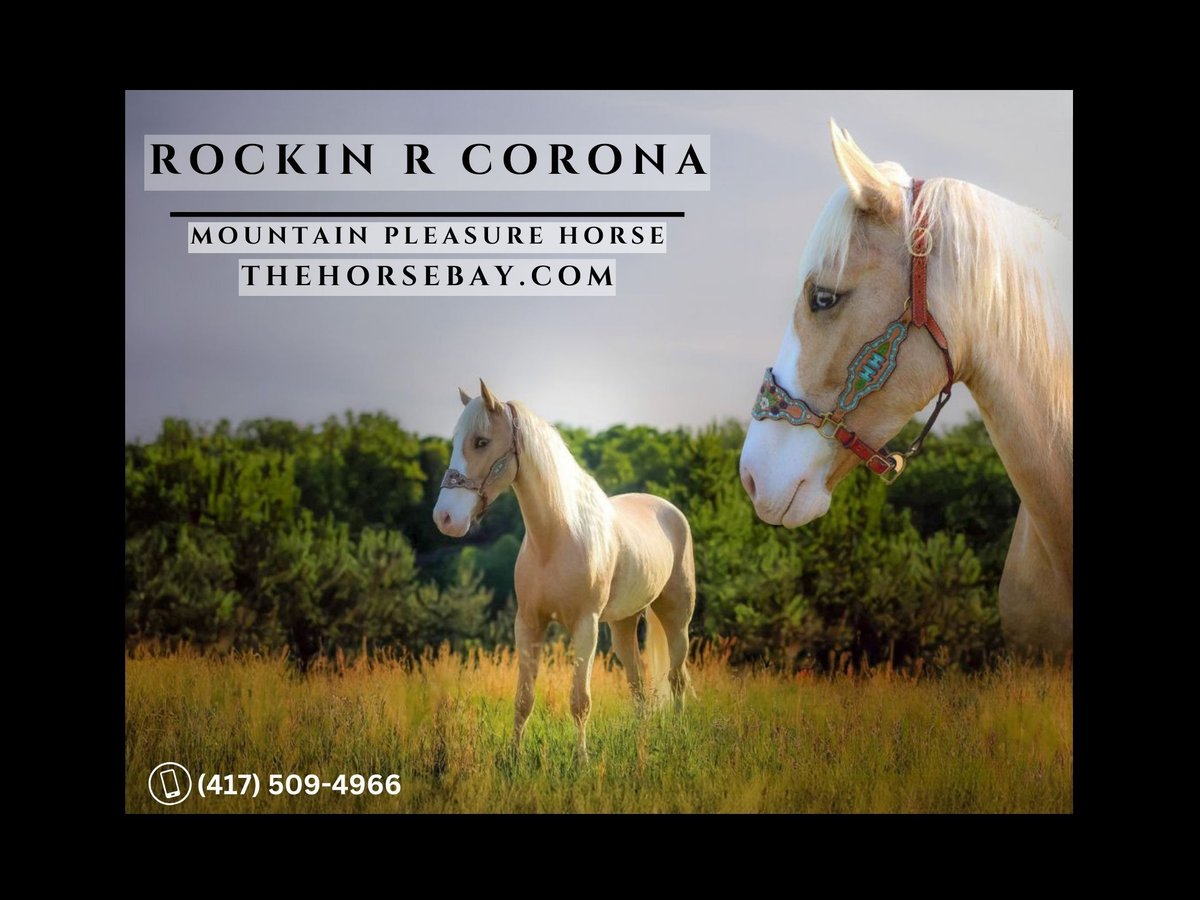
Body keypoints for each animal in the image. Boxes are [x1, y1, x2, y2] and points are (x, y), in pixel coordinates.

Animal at [433, 381, 696, 759]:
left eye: (481, 441)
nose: (445, 518)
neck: (557, 537)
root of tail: (669, 510)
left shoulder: (585, 626)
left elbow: (580, 701)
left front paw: (582, 760)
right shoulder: (528, 623)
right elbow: (524, 698)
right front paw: (514, 757)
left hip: (676, 616)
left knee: (676, 677)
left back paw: (677, 734)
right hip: (623, 624)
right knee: (637, 682)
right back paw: (640, 740)